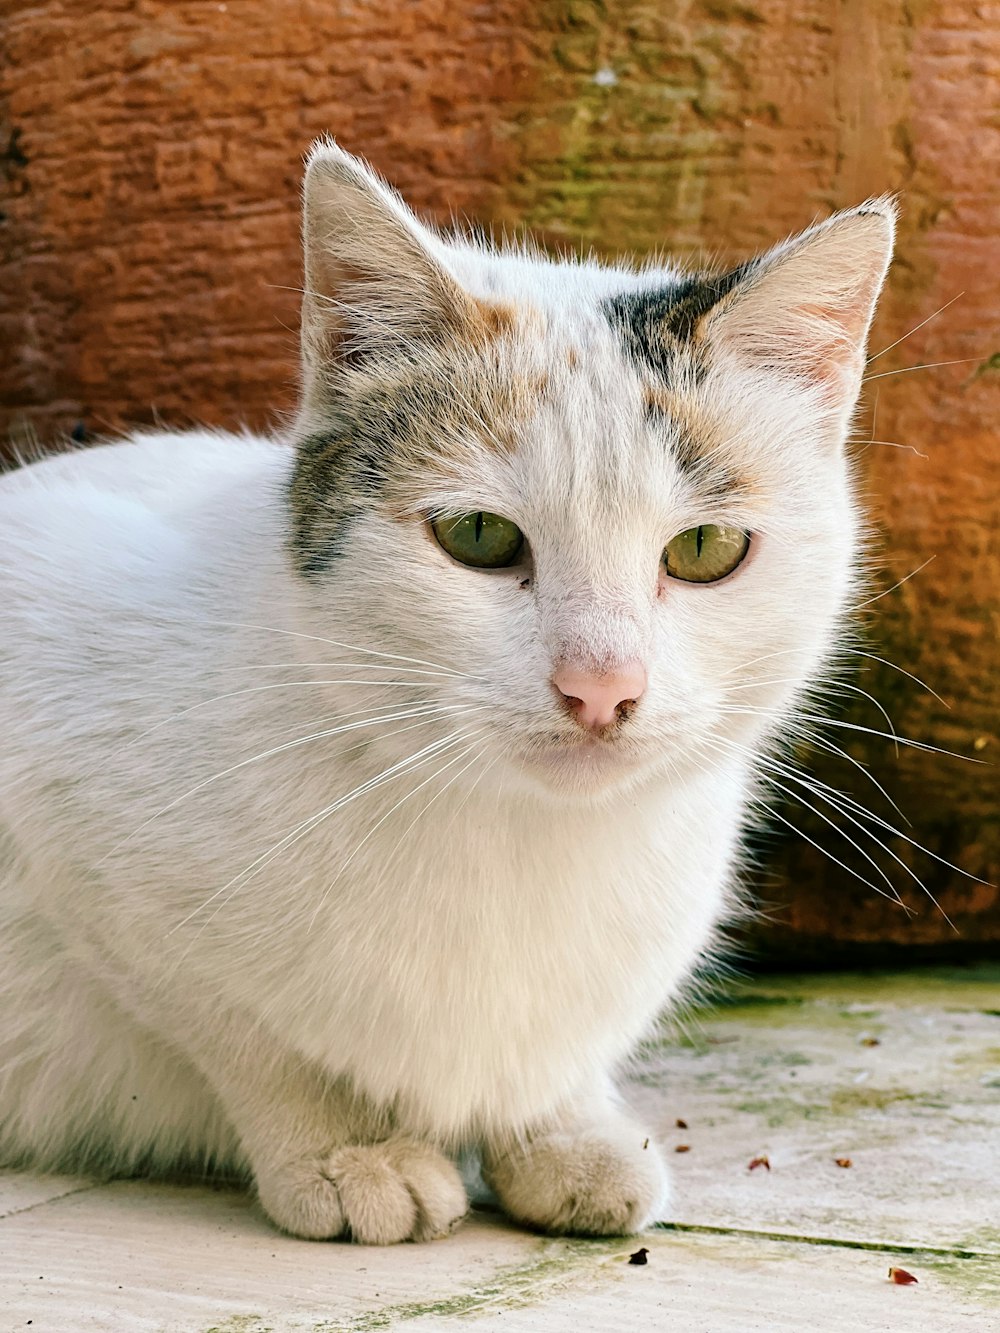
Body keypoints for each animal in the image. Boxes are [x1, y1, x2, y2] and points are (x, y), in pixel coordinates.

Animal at [0, 140, 896, 1242]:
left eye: (705, 550)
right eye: (478, 537)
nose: (600, 686)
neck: (521, 836)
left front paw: (563, 1130)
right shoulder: (72, 818)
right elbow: (248, 1035)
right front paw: (346, 1149)